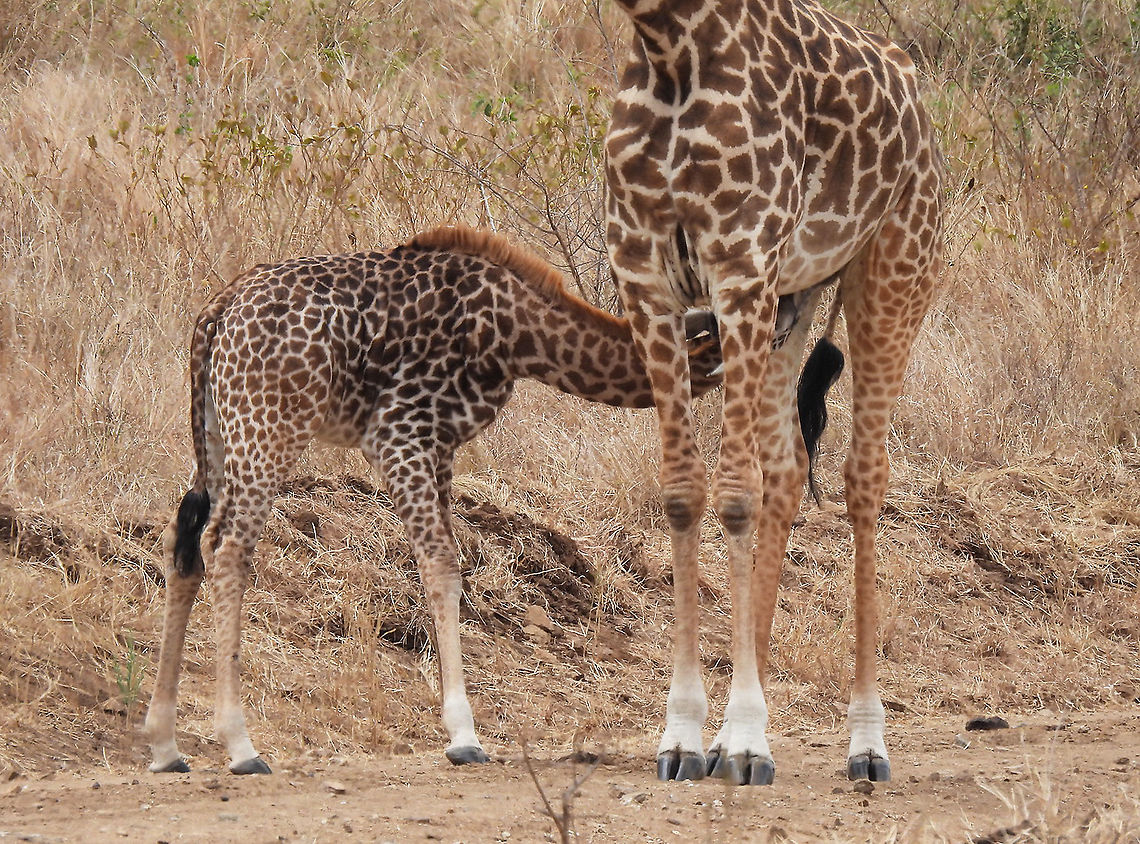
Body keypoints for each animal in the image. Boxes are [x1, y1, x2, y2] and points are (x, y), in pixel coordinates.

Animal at [143, 225, 724, 775]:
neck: (513, 329)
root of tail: (216, 311)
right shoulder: (400, 436)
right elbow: (441, 565)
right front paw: (465, 737)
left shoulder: (441, 448)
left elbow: (445, 568)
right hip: (271, 427)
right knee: (227, 548)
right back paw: (240, 746)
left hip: (218, 432)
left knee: (184, 541)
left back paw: (166, 745)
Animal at [603, 0, 943, 785]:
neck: (668, 42)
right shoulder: (644, 272)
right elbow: (684, 492)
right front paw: (686, 736)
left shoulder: (740, 262)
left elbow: (734, 495)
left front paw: (747, 741)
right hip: (796, 298)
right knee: (788, 469)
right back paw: (732, 736)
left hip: (894, 278)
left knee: (862, 477)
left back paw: (865, 745)